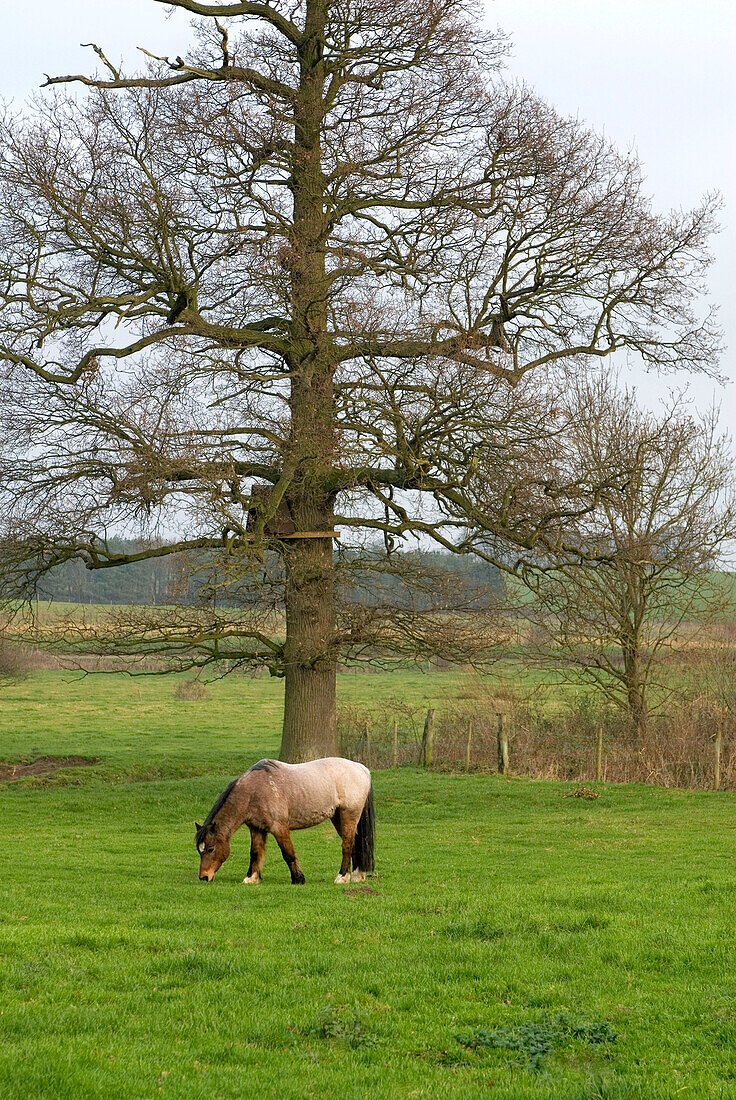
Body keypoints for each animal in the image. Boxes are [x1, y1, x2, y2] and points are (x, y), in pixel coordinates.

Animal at [193, 756, 374, 884]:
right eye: (199, 850)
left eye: (210, 849)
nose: (204, 877)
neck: (253, 791)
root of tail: (361, 768)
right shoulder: (257, 829)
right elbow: (255, 852)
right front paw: (251, 878)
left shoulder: (279, 828)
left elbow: (288, 853)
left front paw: (298, 879)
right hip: (337, 817)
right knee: (356, 842)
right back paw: (357, 875)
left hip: (348, 815)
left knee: (347, 845)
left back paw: (342, 877)